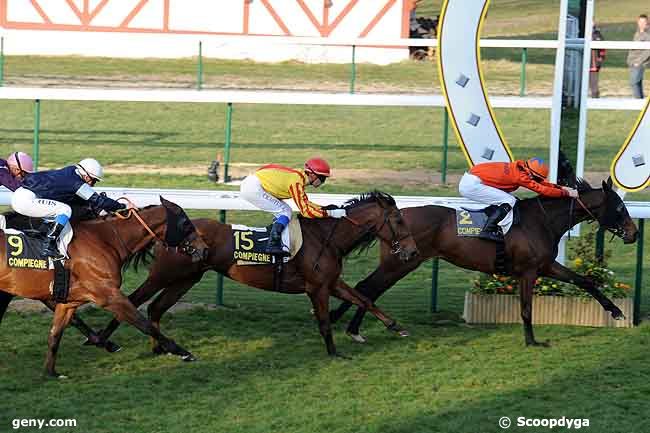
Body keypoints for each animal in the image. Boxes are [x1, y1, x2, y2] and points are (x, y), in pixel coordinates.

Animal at [0, 197, 208, 376]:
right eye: (185, 222)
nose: (204, 249)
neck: (106, 240)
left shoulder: (69, 302)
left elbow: (55, 334)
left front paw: (51, 373)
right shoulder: (108, 295)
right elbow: (144, 324)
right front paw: (183, 352)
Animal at [88, 191, 418, 356]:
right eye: (399, 220)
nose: (413, 251)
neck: (327, 237)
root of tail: (168, 232)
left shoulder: (332, 282)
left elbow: (364, 299)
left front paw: (396, 326)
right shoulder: (316, 287)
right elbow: (324, 321)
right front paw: (335, 352)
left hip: (187, 278)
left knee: (155, 307)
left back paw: (160, 348)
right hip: (164, 274)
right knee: (132, 300)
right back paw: (101, 340)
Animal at [332, 177, 636, 346]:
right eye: (619, 208)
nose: (634, 233)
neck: (542, 221)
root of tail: (394, 218)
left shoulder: (546, 266)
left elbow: (585, 281)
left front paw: (615, 312)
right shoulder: (528, 271)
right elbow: (526, 309)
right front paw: (532, 341)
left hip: (401, 262)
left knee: (368, 288)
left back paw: (351, 327)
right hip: (401, 262)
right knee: (368, 287)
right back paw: (351, 327)